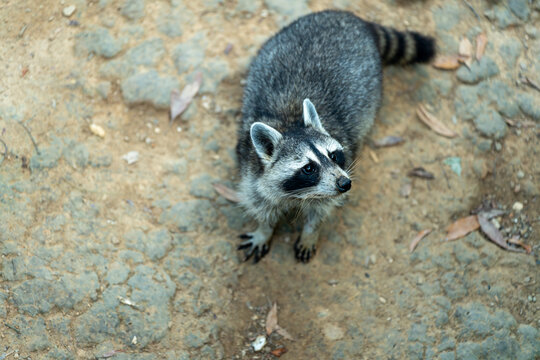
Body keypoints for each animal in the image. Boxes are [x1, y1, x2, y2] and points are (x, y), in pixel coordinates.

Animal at [235, 9, 434, 262]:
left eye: (333, 155)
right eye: (308, 168)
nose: (345, 183)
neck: (291, 124)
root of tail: (352, 17)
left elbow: (320, 211)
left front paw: (310, 232)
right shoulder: (251, 169)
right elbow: (261, 203)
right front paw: (264, 229)